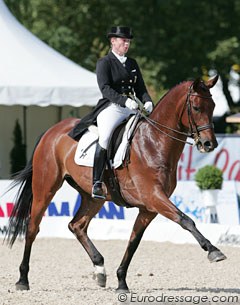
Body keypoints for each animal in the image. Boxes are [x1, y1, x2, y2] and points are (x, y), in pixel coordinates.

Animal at [6, 73, 227, 290]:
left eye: (213, 106)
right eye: (197, 107)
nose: (210, 144)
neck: (154, 142)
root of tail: (51, 131)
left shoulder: (148, 208)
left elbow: (134, 241)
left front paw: (121, 281)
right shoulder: (154, 197)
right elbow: (186, 220)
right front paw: (213, 251)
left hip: (94, 197)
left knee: (77, 225)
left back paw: (100, 269)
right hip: (45, 188)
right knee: (32, 227)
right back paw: (22, 279)